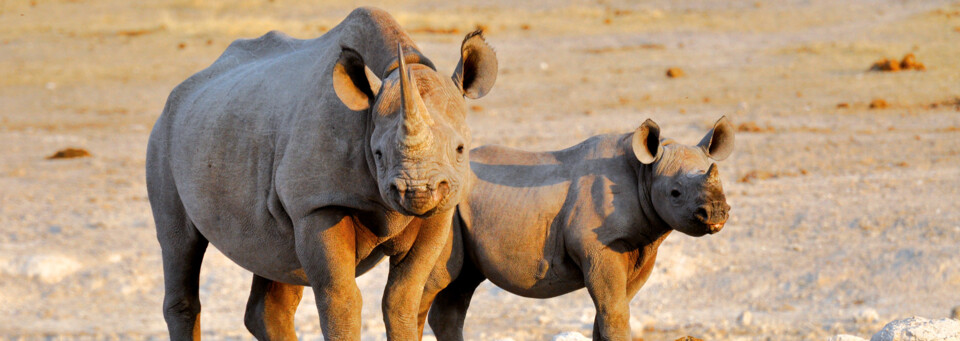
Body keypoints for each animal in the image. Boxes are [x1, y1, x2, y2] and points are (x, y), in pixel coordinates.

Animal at [147, 6, 498, 338]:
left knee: (276, 261)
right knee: (179, 243)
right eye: (378, 154)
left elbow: (403, 298)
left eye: (460, 150)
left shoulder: (439, 214)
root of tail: (179, 91)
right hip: (163, 135)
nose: (418, 191)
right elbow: (342, 299)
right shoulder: (317, 204)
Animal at [420, 117, 736, 340]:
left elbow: (611, 310)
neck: (644, 174)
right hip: (443, 206)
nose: (717, 213)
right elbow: (614, 311)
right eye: (675, 193)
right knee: (430, 283)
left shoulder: (643, 248)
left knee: (459, 284)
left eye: (722, 185)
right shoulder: (599, 246)